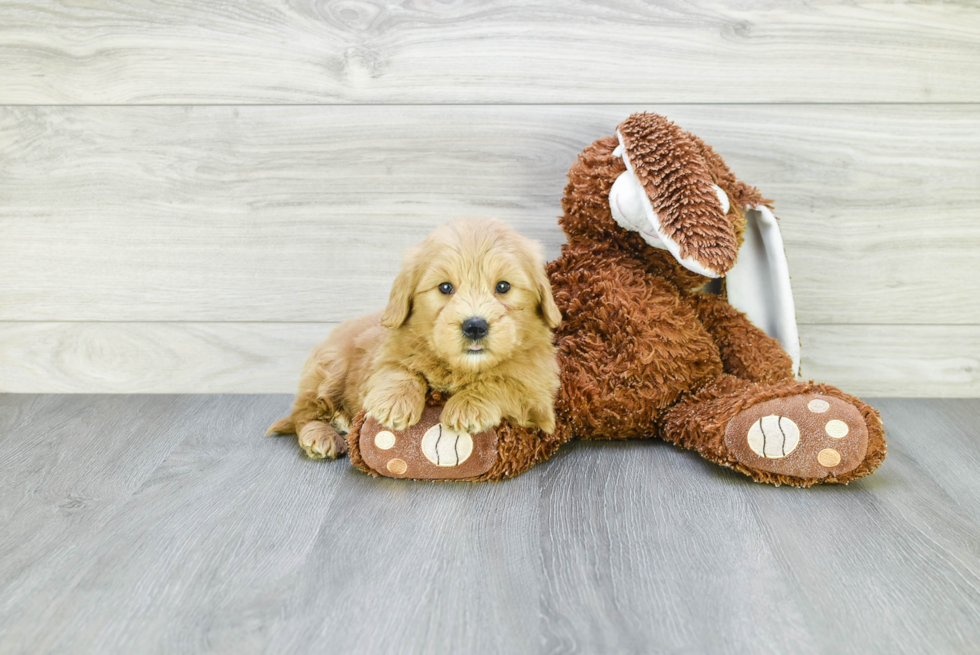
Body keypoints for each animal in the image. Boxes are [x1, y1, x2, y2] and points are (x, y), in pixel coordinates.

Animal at [266, 220, 560, 462]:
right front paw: (394, 404)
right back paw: (322, 435)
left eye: (503, 287)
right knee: (304, 414)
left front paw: (467, 406)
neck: (461, 367)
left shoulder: (538, 393)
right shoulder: (381, 358)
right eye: (445, 287)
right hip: (329, 368)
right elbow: (400, 370)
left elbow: (504, 381)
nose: (475, 326)